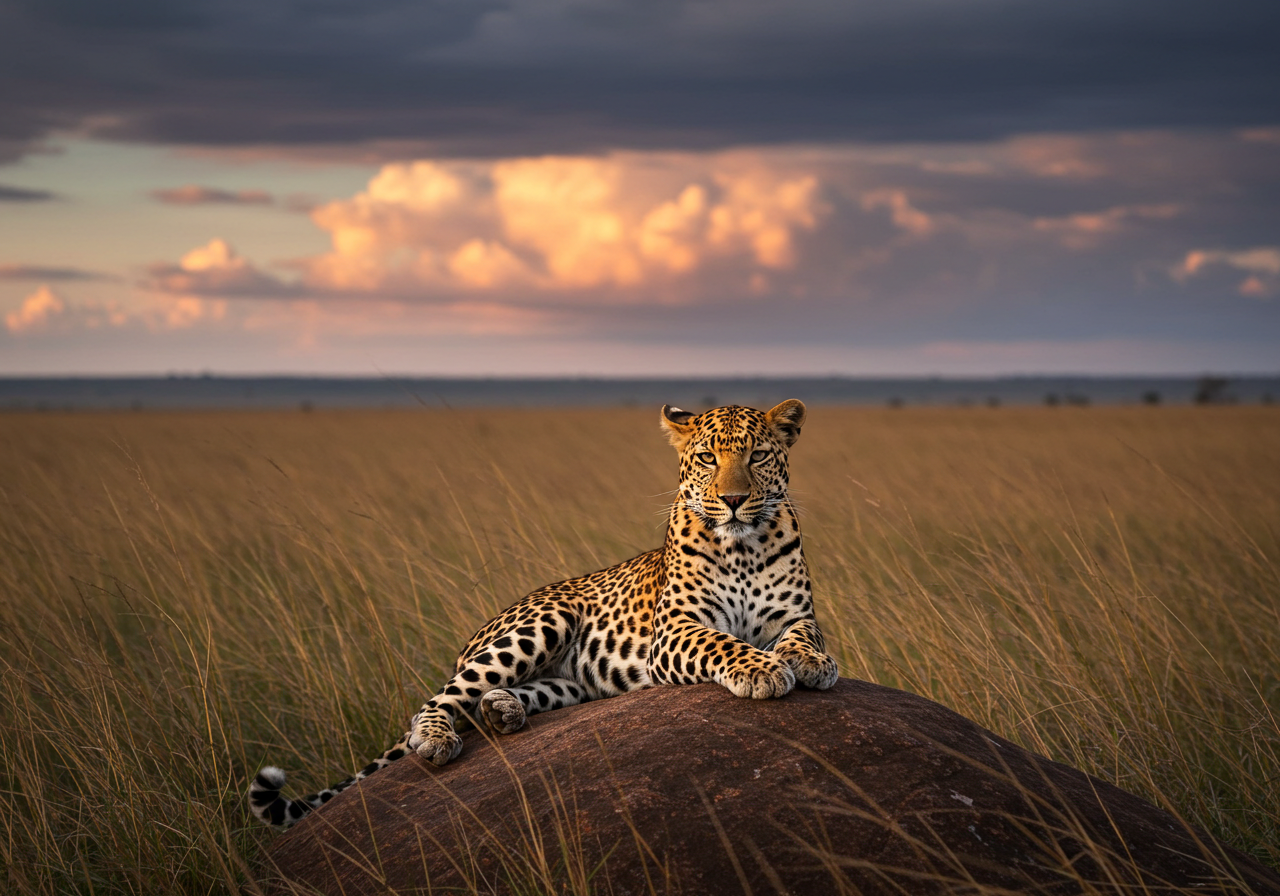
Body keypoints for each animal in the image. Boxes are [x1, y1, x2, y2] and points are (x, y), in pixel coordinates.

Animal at [249, 399, 839, 828]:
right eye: (708, 459)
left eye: (757, 456)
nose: (734, 500)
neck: (743, 547)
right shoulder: (675, 628)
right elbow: (722, 642)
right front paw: (761, 670)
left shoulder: (795, 615)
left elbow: (805, 638)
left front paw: (812, 663)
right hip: (543, 623)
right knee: (438, 700)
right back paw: (438, 737)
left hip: (569, 681)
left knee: (502, 698)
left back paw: (503, 711)